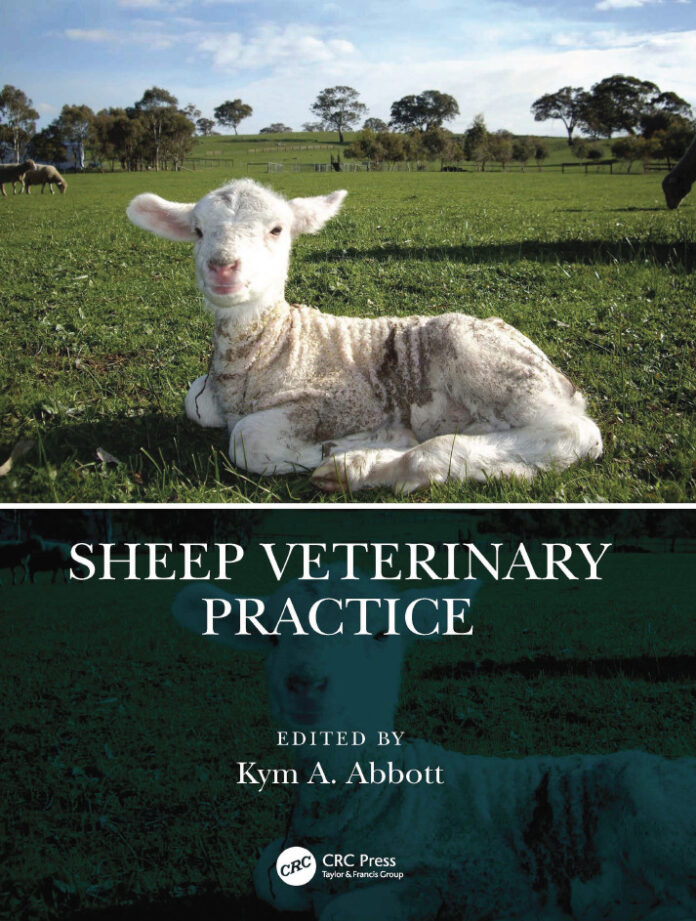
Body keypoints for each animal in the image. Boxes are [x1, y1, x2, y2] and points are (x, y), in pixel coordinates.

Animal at [127, 179, 602, 495]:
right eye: (198, 230)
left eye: (277, 229)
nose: (222, 267)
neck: (272, 347)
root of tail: (559, 378)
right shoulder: (208, 395)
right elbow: (195, 402)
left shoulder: (336, 401)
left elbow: (246, 439)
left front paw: (353, 445)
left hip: (487, 362)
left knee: (574, 435)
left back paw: (365, 464)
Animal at [173, 576, 696, 921]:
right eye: (271, 634)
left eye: (382, 632)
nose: (305, 684)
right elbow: (269, 878)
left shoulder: (442, 878)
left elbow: (343, 911)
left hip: (654, 812)